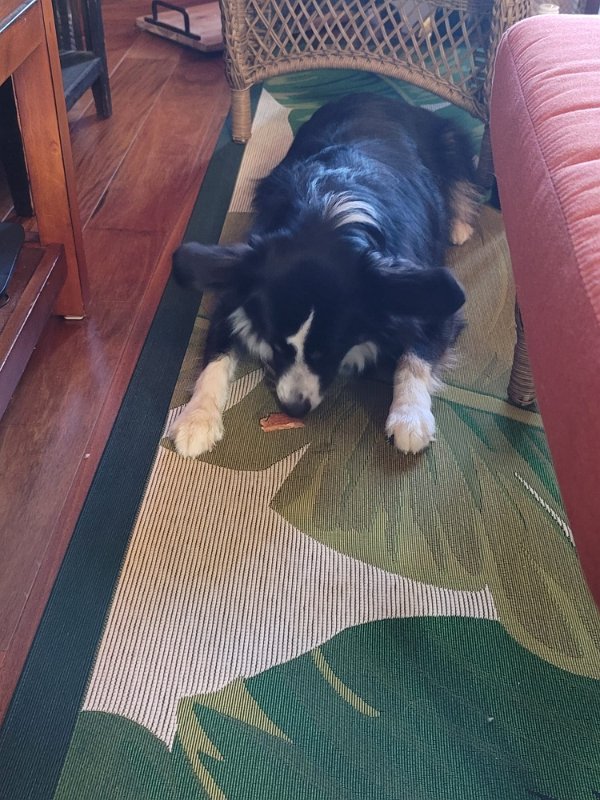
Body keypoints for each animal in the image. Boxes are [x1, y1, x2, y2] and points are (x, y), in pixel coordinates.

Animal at [170, 92, 478, 458]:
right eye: (276, 345)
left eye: (330, 350)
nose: (293, 408)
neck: (326, 219)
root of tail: (375, 94)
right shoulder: (239, 285)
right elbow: (216, 355)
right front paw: (196, 421)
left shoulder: (424, 292)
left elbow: (416, 355)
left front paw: (410, 418)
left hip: (451, 140)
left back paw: (458, 227)